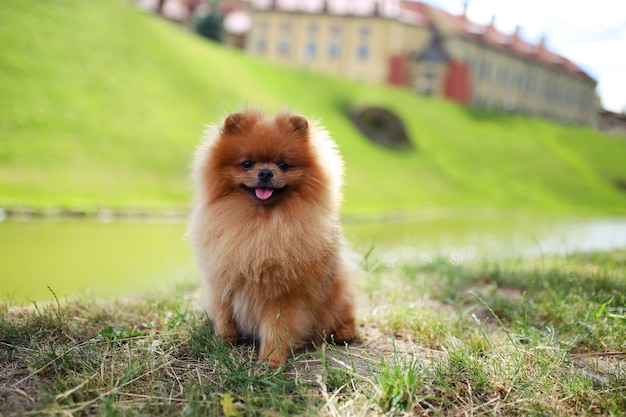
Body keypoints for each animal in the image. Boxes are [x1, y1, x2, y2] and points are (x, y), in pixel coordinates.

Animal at [189, 109, 356, 366]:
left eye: (283, 164)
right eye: (247, 163)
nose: (266, 172)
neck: (261, 224)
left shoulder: (283, 296)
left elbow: (276, 329)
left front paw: (271, 361)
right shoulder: (223, 283)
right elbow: (224, 317)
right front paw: (222, 343)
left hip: (338, 292)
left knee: (347, 315)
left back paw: (344, 333)